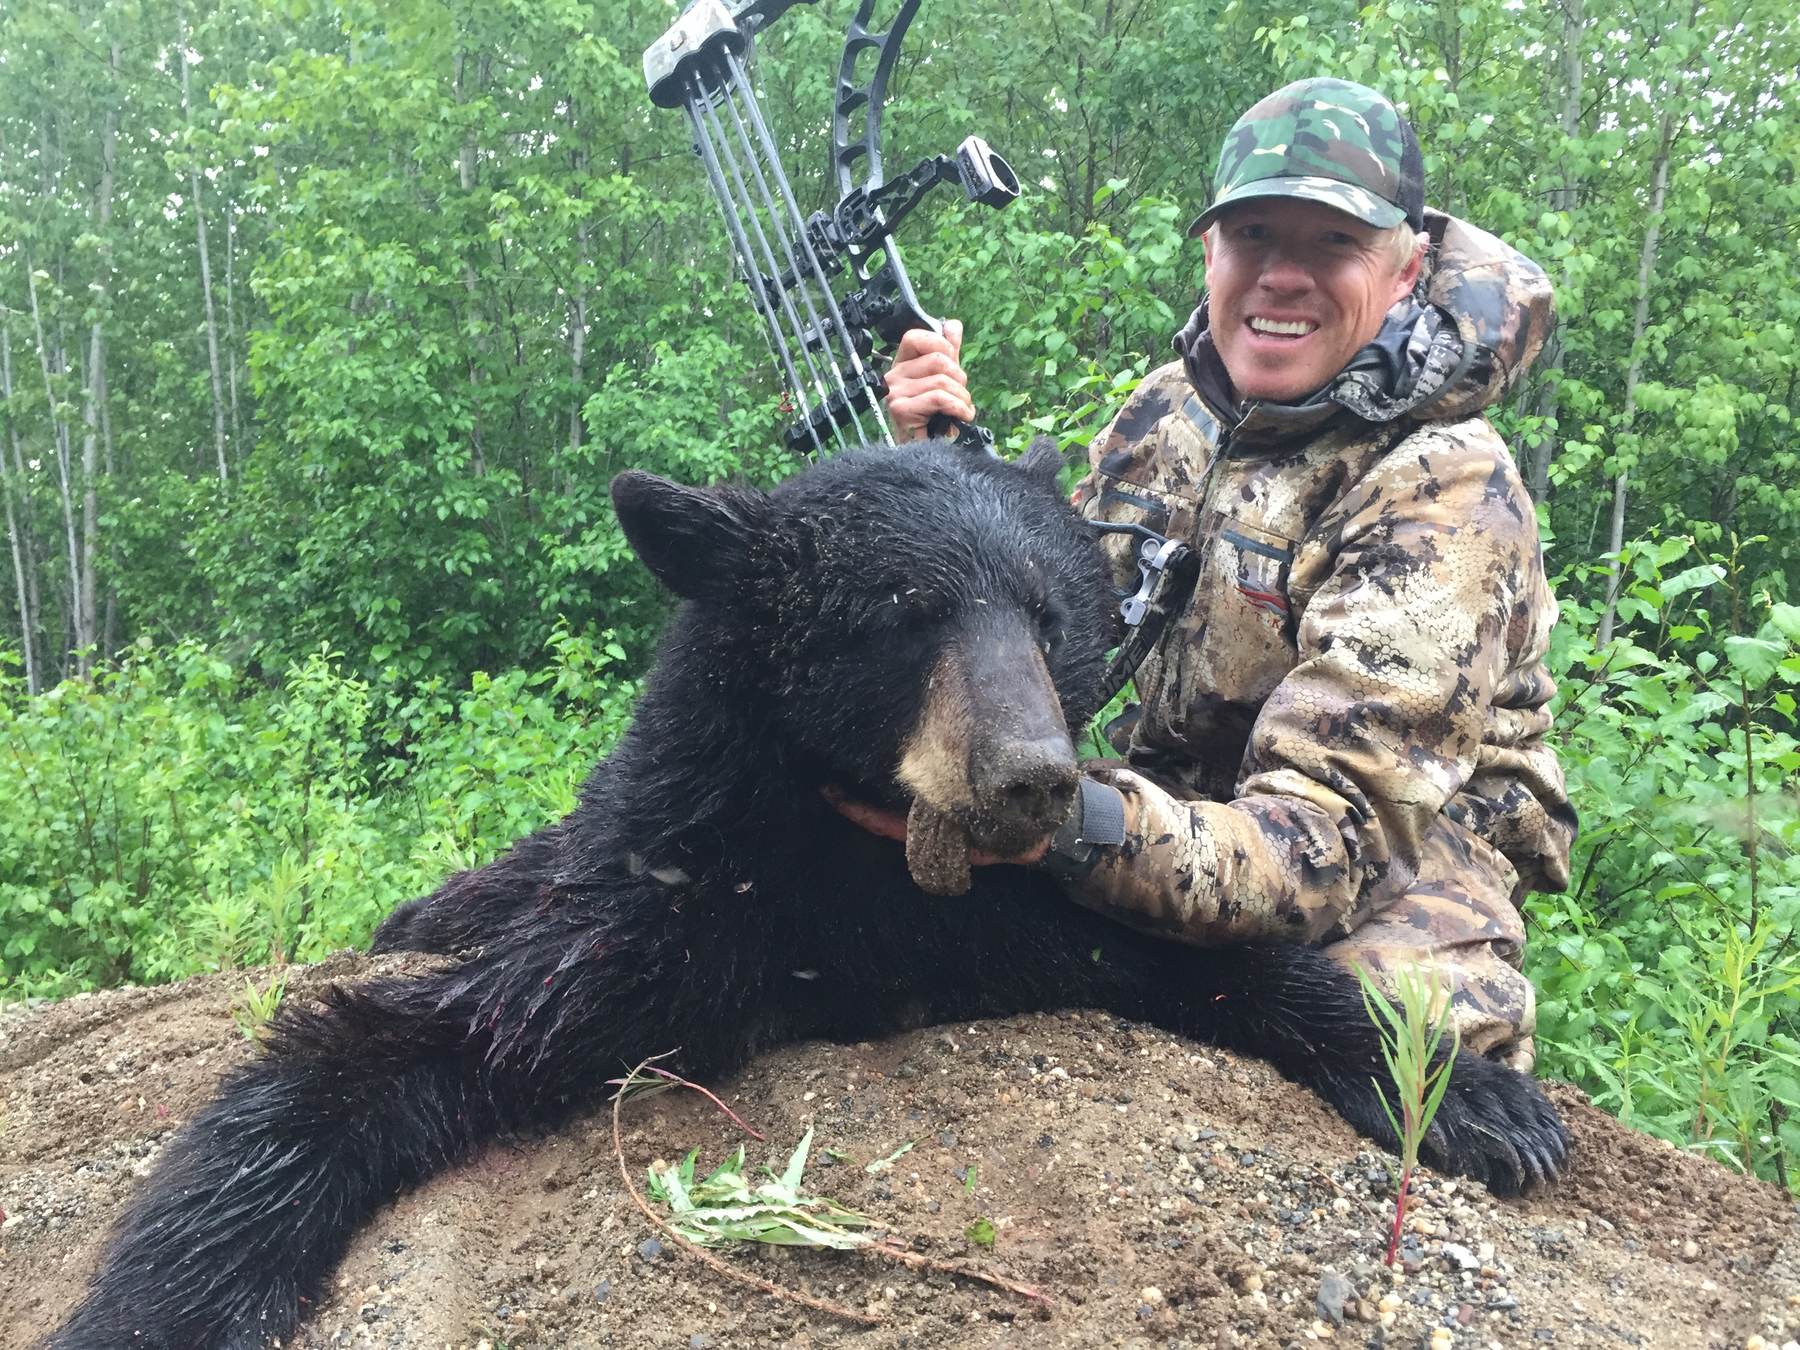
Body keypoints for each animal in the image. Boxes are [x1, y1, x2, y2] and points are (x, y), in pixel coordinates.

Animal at [48, 442, 1569, 1349]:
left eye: (1050, 616)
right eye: (900, 617)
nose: (1029, 778)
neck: (860, 860)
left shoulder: (1001, 912)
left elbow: (1215, 953)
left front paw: (1481, 1102)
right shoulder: (694, 896)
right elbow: (415, 1041)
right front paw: (161, 1295)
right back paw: (434, 904)